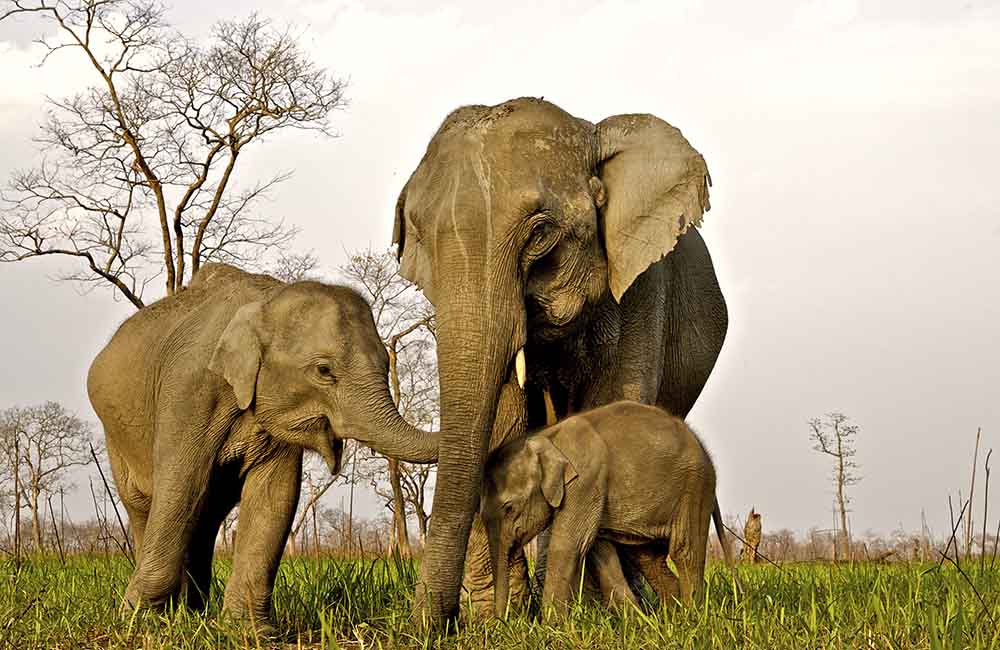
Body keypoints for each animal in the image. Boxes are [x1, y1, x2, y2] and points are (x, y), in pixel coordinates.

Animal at [88, 260, 440, 632]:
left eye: (387, 364)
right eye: (323, 370)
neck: (267, 300)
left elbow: (275, 494)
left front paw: (250, 631)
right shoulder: (188, 390)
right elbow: (180, 486)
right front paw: (136, 621)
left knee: (207, 515)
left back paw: (195, 612)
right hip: (115, 435)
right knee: (145, 505)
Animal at [480, 398, 732, 616]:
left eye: (509, 508)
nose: (501, 621)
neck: (547, 436)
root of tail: (705, 451)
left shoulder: (586, 481)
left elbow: (568, 545)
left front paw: (551, 627)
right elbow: (598, 548)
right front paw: (634, 621)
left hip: (695, 487)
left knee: (684, 550)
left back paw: (691, 616)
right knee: (647, 558)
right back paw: (672, 616)